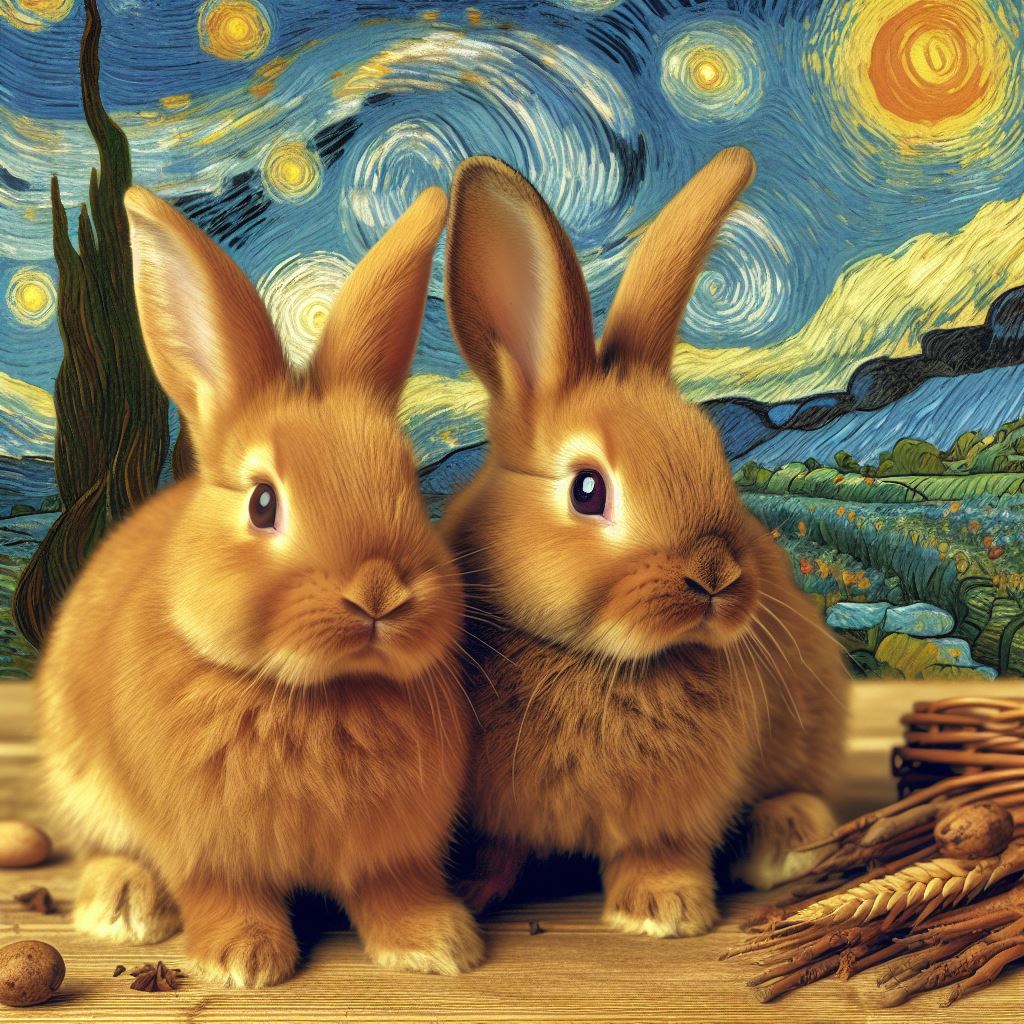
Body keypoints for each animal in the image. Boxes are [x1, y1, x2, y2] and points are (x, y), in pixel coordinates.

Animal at [36, 184, 484, 985]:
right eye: (263, 503)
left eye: (407, 480)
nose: (380, 593)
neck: (318, 693)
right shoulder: (204, 847)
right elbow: (221, 890)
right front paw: (240, 960)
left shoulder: (393, 851)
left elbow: (392, 887)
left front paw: (436, 945)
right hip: (78, 777)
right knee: (102, 849)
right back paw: (123, 903)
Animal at [441, 147, 849, 937]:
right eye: (587, 490)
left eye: (717, 460)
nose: (716, 575)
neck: (597, 661)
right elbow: (500, 847)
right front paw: (470, 890)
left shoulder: (674, 808)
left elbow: (659, 848)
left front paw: (662, 910)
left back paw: (781, 842)